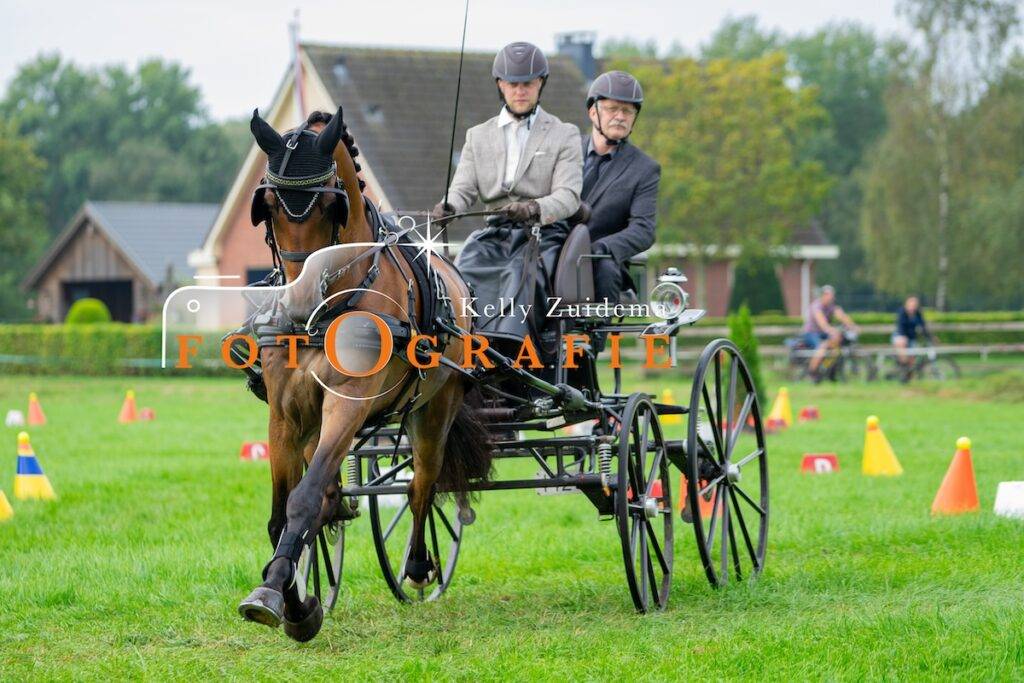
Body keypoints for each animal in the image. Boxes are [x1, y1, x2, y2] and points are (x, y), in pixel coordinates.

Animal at [237, 107, 493, 642]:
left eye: (328, 205)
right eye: (267, 206)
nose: (297, 303)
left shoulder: (348, 404)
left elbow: (304, 500)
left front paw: (285, 598)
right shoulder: (286, 413)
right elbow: (284, 512)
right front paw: (292, 596)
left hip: (434, 409)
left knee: (422, 486)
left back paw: (417, 566)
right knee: (342, 491)